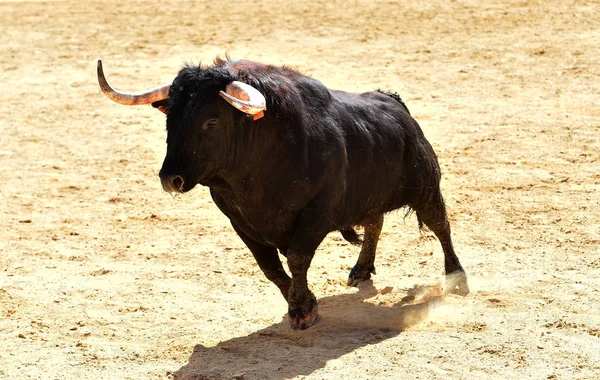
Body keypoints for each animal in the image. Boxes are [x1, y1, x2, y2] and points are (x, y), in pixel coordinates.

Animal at [97, 57, 468, 330]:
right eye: (169, 119)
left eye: (211, 121)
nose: (170, 179)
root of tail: (392, 100)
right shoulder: (240, 223)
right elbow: (270, 268)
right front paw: (300, 302)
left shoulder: (316, 214)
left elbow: (296, 258)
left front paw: (303, 311)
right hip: (370, 197)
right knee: (375, 223)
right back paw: (361, 270)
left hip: (426, 187)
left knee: (441, 226)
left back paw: (457, 279)